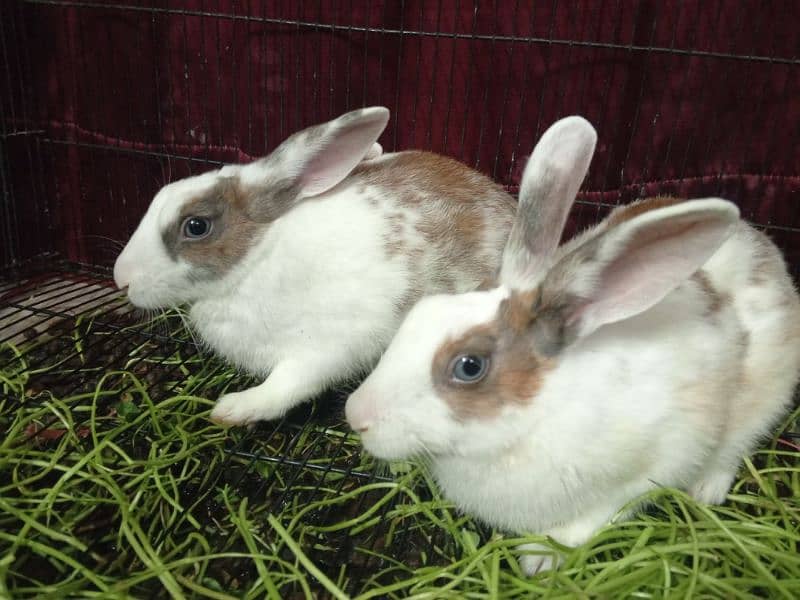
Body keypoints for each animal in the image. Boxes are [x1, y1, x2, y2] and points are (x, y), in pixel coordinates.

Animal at [115, 109, 520, 426]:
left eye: (196, 226)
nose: (121, 279)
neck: (256, 261)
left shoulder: (324, 348)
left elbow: (285, 387)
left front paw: (232, 410)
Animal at [346, 113, 800, 576]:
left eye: (469, 366)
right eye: (420, 313)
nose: (355, 416)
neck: (535, 416)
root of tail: (758, 241)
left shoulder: (650, 466)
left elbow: (599, 516)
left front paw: (540, 559)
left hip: (763, 397)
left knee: (734, 445)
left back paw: (706, 489)